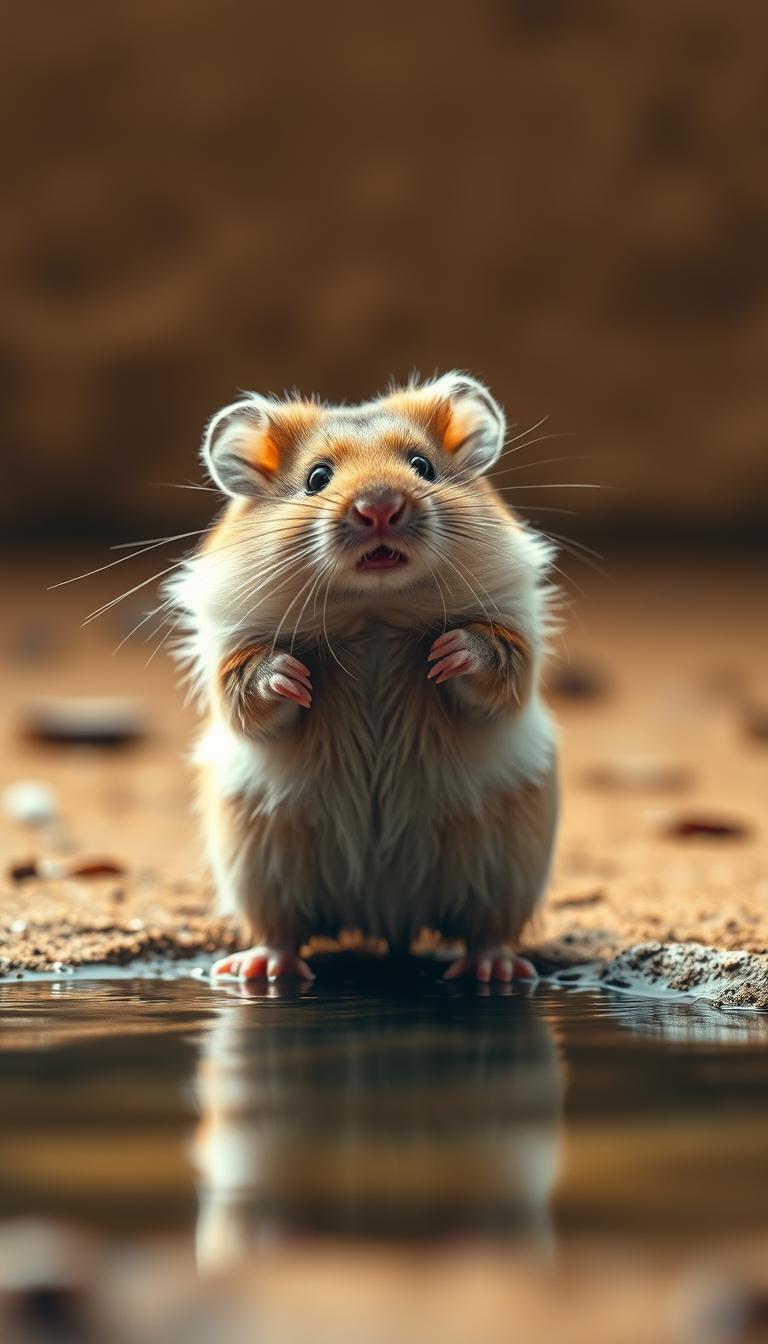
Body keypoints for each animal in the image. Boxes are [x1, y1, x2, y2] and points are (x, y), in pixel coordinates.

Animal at [170, 372, 559, 982]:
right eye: (317, 478)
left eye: (423, 466)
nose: (381, 507)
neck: (374, 609)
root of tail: (387, 918)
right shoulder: (230, 653)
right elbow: (252, 689)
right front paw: (295, 676)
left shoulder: (514, 634)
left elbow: (494, 666)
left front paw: (445, 654)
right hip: (259, 863)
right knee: (281, 932)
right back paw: (260, 971)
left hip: (508, 864)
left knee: (486, 932)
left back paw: (492, 971)